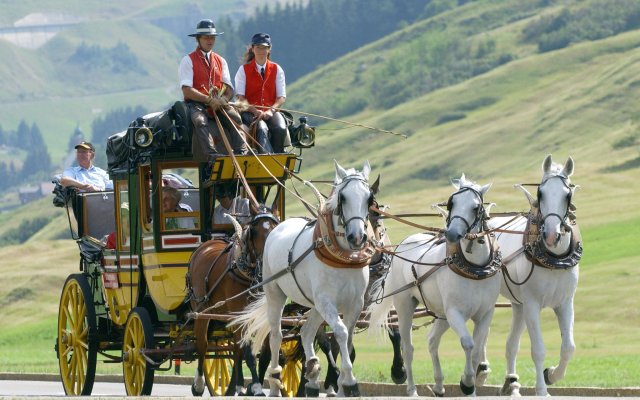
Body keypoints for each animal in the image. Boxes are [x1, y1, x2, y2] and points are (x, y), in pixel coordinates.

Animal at [186, 206, 278, 396]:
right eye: (254, 231)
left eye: (275, 227)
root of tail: (204, 246)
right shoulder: (240, 315)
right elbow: (249, 352)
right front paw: (256, 387)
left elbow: (265, 354)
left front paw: (253, 385)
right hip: (202, 311)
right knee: (202, 345)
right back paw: (198, 384)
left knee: (236, 347)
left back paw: (239, 385)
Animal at [231, 160, 376, 396]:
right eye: (343, 197)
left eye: (369, 198)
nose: (357, 237)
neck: (343, 258)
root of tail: (278, 226)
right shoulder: (326, 301)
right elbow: (342, 333)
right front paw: (350, 380)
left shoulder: (355, 303)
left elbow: (348, 339)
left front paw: (342, 383)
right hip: (276, 294)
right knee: (276, 336)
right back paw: (275, 381)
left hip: (314, 304)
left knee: (306, 332)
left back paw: (312, 375)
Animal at [368, 175, 502, 396]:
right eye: (451, 203)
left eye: (476, 207)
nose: (452, 234)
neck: (475, 268)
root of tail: (404, 243)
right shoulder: (455, 312)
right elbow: (468, 344)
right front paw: (466, 382)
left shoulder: (485, 314)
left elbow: (476, 350)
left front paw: (471, 386)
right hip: (406, 305)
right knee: (407, 347)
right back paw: (412, 389)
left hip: (441, 314)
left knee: (432, 340)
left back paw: (438, 385)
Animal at [482, 155, 584, 396]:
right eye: (540, 193)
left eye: (568, 195)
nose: (551, 236)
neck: (553, 258)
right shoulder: (532, 304)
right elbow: (538, 349)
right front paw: (542, 389)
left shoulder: (565, 302)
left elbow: (569, 347)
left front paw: (552, 374)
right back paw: (479, 370)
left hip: (518, 305)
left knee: (511, 345)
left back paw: (511, 383)